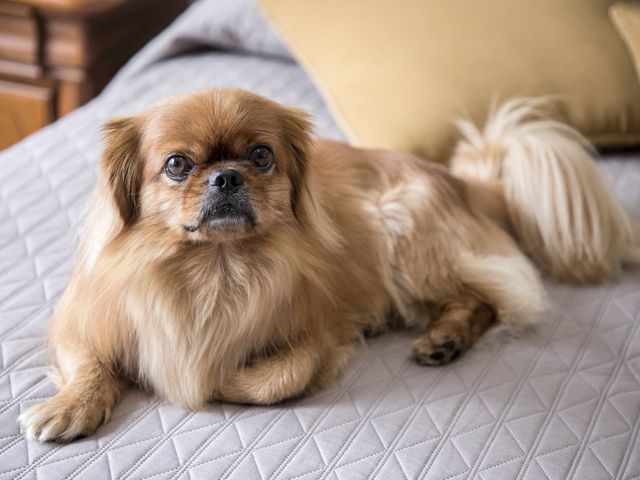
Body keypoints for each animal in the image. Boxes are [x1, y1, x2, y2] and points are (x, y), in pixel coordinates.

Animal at [17, 88, 636, 440]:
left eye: (260, 155)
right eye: (177, 165)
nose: (226, 176)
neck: (216, 269)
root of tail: (462, 180)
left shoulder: (320, 333)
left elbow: (276, 378)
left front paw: (215, 380)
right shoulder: (80, 327)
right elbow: (92, 368)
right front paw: (68, 408)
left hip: (404, 230)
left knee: (485, 297)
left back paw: (444, 338)